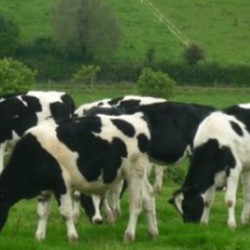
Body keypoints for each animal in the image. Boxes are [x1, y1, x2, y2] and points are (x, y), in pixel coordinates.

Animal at [0, 113, 157, 242]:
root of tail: (137, 118)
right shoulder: (45, 188)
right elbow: (42, 212)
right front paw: (40, 237)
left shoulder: (62, 183)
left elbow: (65, 212)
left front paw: (72, 237)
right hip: (141, 174)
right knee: (148, 198)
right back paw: (153, 232)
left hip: (134, 172)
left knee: (136, 204)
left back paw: (129, 236)